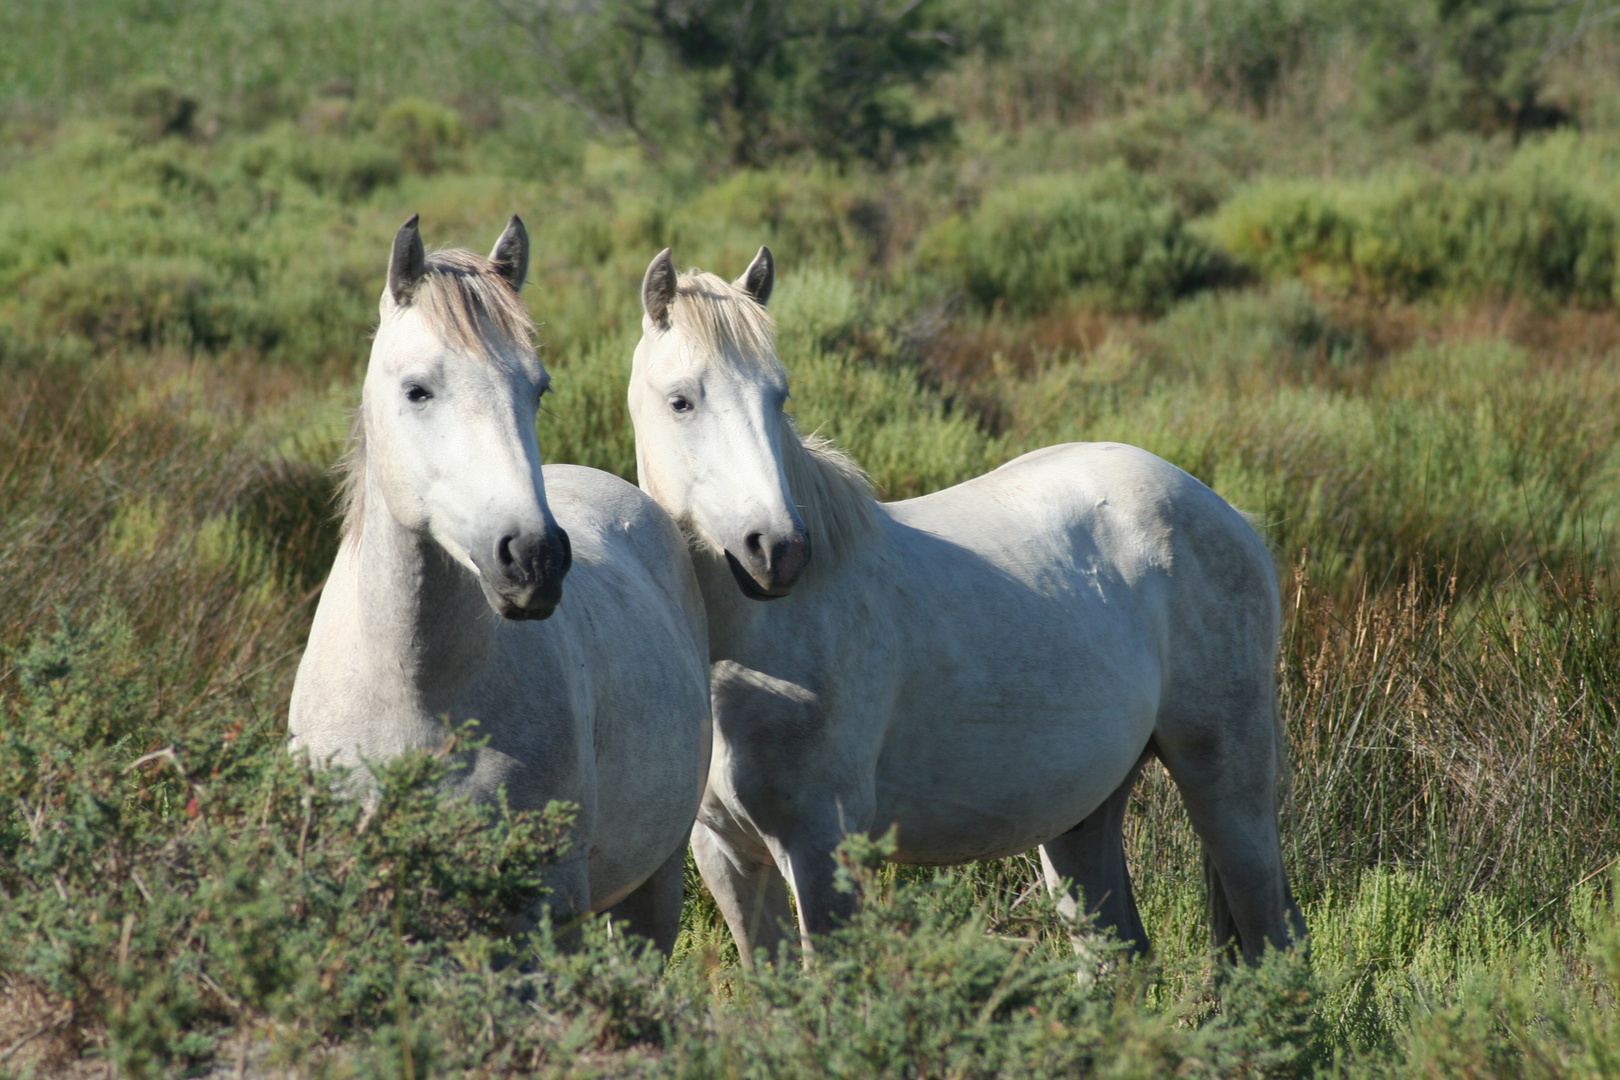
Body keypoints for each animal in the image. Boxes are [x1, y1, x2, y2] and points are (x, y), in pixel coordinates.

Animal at [291, 215, 709, 952]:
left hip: (653, 889)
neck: (414, 695)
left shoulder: (540, 907)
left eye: (536, 389)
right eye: (418, 389)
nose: (533, 558)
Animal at [625, 247, 1308, 965]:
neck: (751, 650)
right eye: (681, 401)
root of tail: (1226, 513)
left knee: (1274, 930)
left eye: (777, 395)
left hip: (1226, 778)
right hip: (1083, 811)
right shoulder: (727, 854)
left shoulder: (820, 849)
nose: (779, 550)